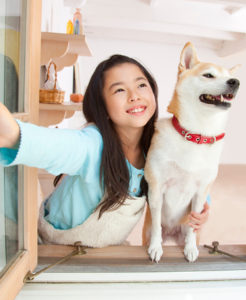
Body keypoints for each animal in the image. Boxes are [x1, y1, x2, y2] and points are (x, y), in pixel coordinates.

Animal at [143, 42, 239, 262]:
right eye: (208, 75)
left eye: (229, 77)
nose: (236, 82)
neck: (196, 136)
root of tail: (171, 232)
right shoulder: (156, 188)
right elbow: (156, 226)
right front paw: (155, 247)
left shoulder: (200, 192)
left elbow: (192, 230)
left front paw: (191, 248)